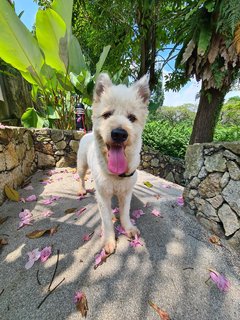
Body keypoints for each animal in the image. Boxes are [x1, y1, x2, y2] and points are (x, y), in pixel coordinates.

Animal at [77, 74, 149, 254]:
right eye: (107, 114)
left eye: (132, 118)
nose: (119, 133)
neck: (117, 174)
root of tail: (86, 133)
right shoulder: (103, 195)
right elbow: (107, 221)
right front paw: (109, 240)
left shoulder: (126, 193)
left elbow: (125, 213)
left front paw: (128, 227)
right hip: (81, 165)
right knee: (80, 177)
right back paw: (81, 189)